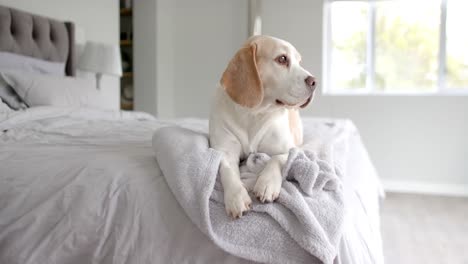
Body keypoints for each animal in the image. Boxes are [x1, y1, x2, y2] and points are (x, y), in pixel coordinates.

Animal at [209, 36, 316, 219]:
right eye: (282, 59)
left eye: (300, 62)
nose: (314, 81)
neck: (254, 114)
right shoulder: (225, 152)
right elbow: (228, 171)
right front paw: (236, 196)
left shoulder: (289, 150)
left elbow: (276, 159)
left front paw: (267, 183)